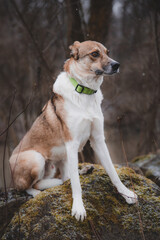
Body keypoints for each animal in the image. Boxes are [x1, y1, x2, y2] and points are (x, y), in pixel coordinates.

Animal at [9, 39, 138, 221]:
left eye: (108, 52)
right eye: (94, 54)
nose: (117, 65)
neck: (85, 92)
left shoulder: (98, 140)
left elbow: (112, 171)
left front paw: (126, 194)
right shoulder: (71, 143)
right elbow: (76, 185)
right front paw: (78, 208)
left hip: (58, 161)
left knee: (65, 176)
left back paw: (81, 171)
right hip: (35, 158)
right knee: (30, 185)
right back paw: (38, 192)